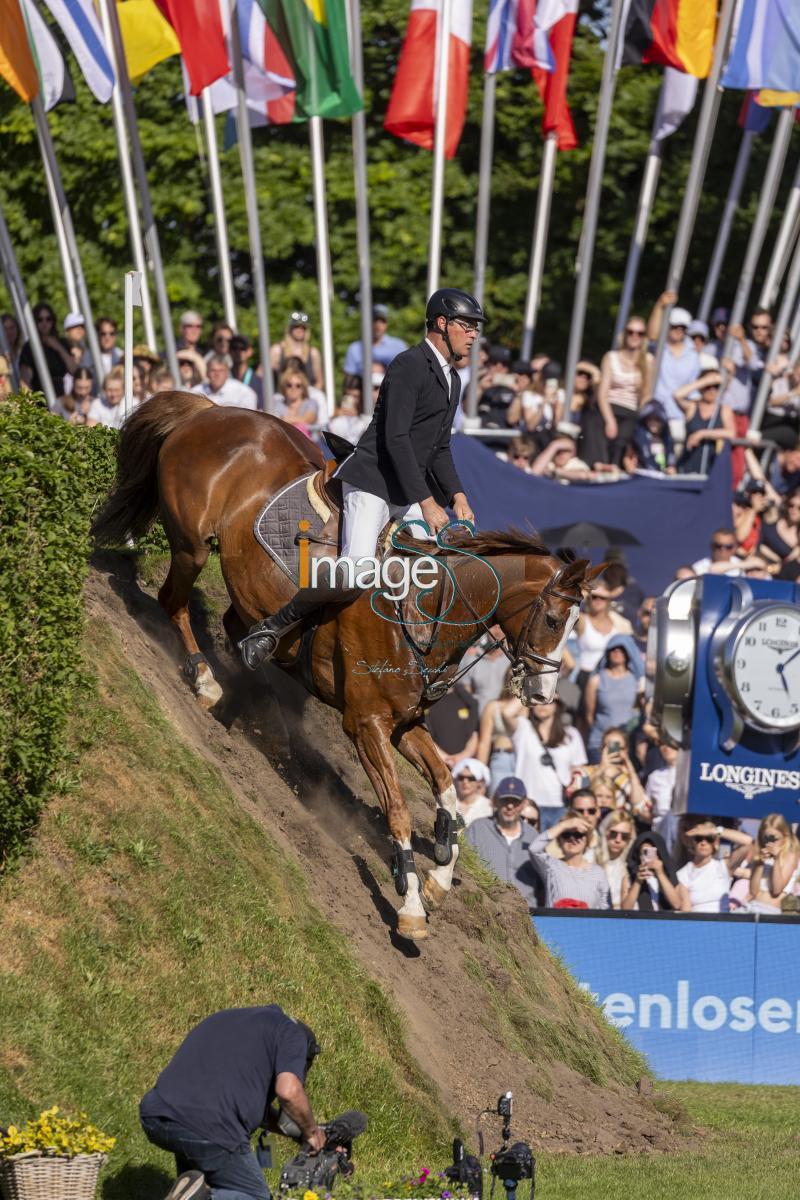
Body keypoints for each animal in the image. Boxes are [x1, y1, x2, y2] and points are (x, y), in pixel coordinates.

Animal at [94, 391, 604, 936]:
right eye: (553, 619)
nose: (543, 694)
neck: (423, 608)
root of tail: (210, 409)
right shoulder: (366, 725)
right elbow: (398, 811)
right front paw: (411, 904)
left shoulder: (405, 723)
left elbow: (449, 797)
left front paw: (440, 875)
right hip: (190, 545)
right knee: (174, 602)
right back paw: (207, 682)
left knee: (241, 630)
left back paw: (262, 707)